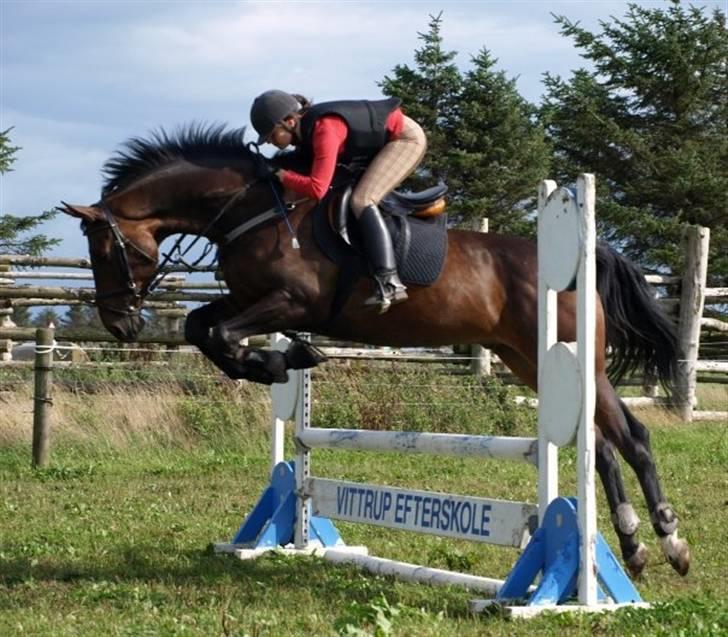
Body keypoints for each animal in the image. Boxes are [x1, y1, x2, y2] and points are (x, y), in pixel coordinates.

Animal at [61, 123, 688, 576]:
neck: (248, 209)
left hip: (574, 365)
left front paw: (282, 360)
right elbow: (200, 328)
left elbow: (218, 335)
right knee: (601, 446)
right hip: (530, 361)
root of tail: (583, 260)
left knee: (632, 437)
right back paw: (633, 546)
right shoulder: (251, 300)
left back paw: (669, 541)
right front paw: (280, 362)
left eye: (106, 250)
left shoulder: (291, 302)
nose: (119, 324)